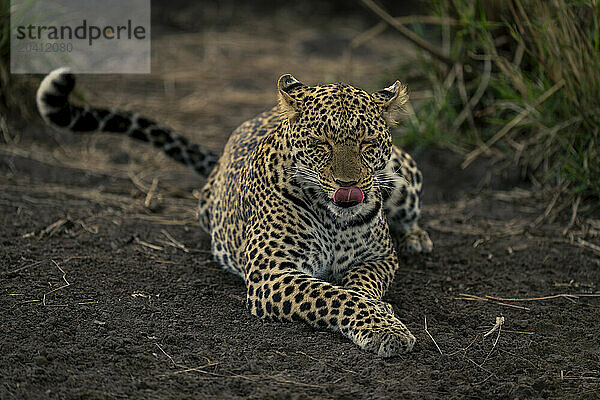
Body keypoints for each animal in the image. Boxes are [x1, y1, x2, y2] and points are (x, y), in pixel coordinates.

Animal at [36, 67, 432, 358]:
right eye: (322, 143)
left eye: (367, 143)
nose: (348, 184)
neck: (334, 217)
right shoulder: (273, 274)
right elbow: (337, 296)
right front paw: (384, 327)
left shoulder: (380, 257)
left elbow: (360, 286)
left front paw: (380, 313)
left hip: (403, 175)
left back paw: (417, 238)